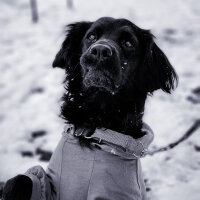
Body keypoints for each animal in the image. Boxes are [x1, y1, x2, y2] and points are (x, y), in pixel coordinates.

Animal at [2, 17, 178, 200]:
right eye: (91, 36)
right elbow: (19, 180)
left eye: (128, 43)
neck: (93, 126)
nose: (100, 50)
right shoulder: (50, 187)